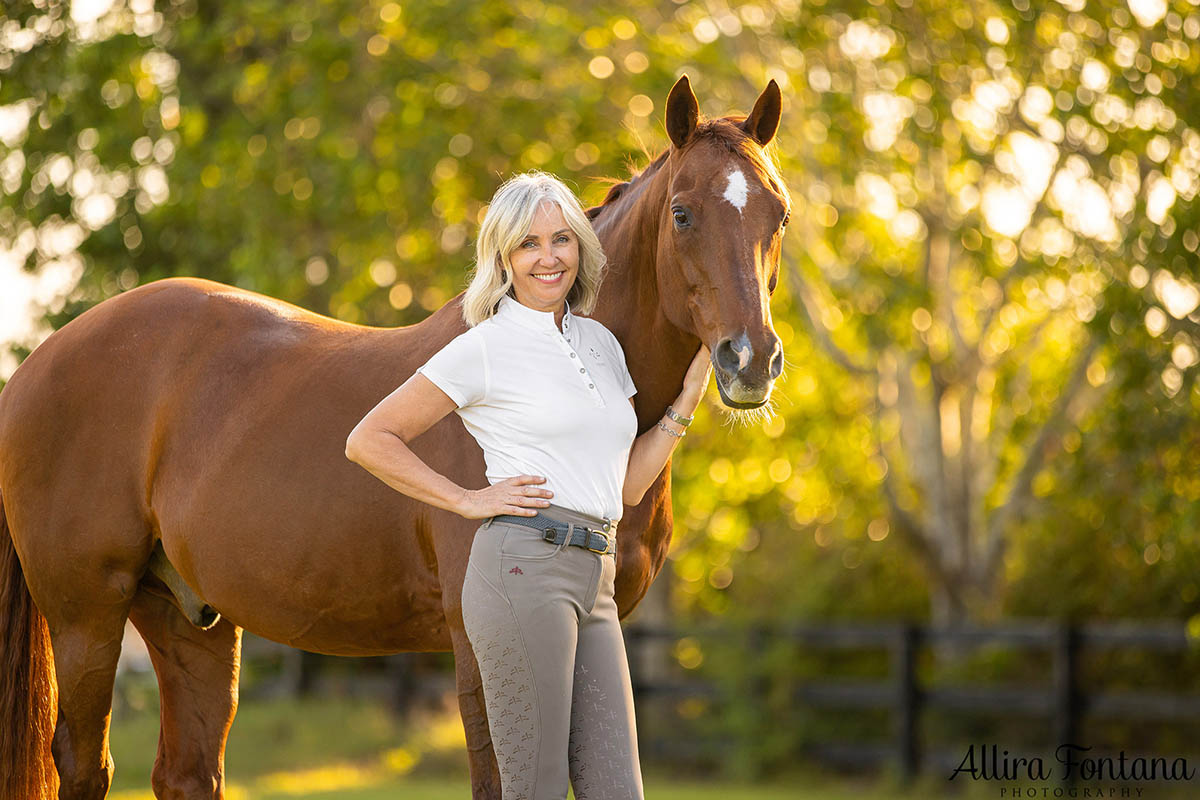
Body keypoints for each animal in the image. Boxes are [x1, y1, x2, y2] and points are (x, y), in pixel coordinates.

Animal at [0, 76, 787, 800]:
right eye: (683, 213)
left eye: (777, 213)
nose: (751, 360)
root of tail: (40, 360)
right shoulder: (480, 649)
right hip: (88, 616)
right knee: (82, 764)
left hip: (186, 617)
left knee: (187, 772)